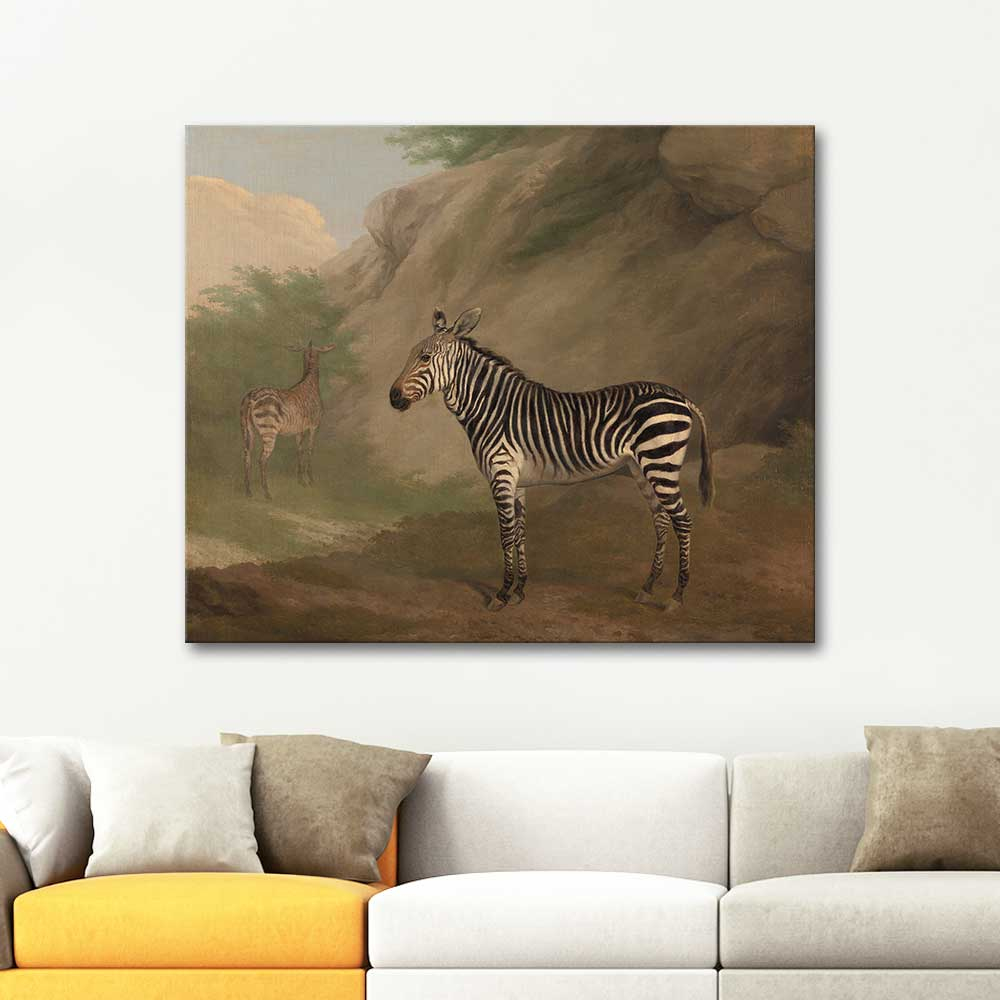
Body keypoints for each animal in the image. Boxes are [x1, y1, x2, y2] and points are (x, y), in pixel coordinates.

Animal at [240, 340, 335, 499]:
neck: (309, 383)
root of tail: (251, 397)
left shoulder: (299, 430)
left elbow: (299, 450)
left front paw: (301, 480)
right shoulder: (314, 426)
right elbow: (310, 449)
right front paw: (310, 479)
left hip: (247, 430)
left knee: (247, 456)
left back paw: (248, 491)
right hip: (269, 430)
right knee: (262, 459)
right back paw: (267, 493)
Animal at [389, 307, 714, 612]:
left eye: (425, 357)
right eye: (411, 354)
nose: (393, 397)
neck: (492, 408)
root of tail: (680, 396)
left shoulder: (501, 473)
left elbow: (506, 533)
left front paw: (502, 593)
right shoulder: (517, 480)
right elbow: (520, 532)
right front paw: (520, 590)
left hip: (661, 463)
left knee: (682, 520)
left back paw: (676, 596)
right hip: (641, 467)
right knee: (661, 520)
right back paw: (647, 587)